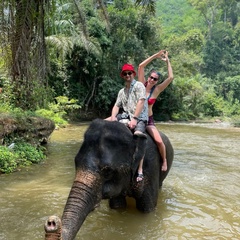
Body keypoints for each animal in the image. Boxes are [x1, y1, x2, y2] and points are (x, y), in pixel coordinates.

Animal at [44, 118, 173, 240]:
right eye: (76, 162)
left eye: (108, 171)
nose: (51, 222)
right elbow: (118, 205)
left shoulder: (151, 168)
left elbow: (147, 208)